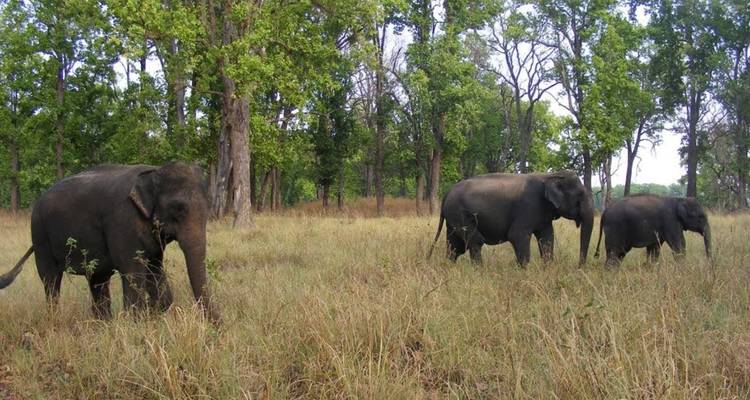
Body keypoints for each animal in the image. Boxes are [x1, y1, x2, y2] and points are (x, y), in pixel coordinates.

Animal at [0, 162, 220, 322]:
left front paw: (157, 315)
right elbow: (132, 271)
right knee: (51, 279)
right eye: (178, 209)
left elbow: (155, 269)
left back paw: (103, 323)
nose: (215, 325)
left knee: (98, 279)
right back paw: (55, 319)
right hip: (39, 233)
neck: (153, 171)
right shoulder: (121, 221)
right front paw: (138, 322)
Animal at [427, 171, 595, 266]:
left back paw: (449, 268)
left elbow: (547, 238)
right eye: (580, 195)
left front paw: (548, 268)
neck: (550, 175)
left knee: (455, 247)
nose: (579, 267)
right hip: (461, 214)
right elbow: (517, 235)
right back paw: (479, 270)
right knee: (475, 242)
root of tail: (447, 193)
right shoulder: (527, 206)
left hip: (453, 218)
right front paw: (524, 270)